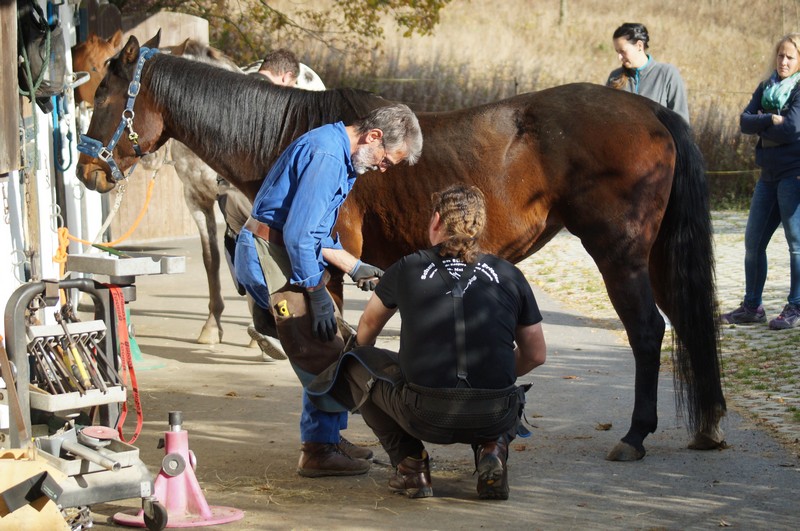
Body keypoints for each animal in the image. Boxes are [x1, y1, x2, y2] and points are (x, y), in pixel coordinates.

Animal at [78, 33, 728, 460]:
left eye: (105, 95)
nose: (88, 171)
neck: (294, 134)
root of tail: (653, 111)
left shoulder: (321, 260)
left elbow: (328, 340)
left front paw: (329, 439)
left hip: (619, 253)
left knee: (647, 331)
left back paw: (636, 436)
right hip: (657, 258)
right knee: (689, 322)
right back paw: (709, 424)